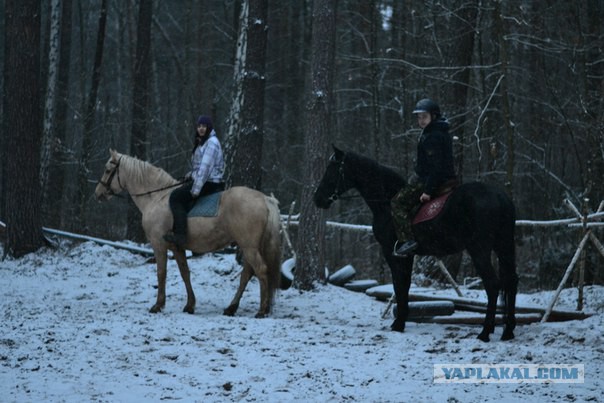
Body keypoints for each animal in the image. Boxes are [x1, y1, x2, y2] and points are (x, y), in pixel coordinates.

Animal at [95, 149, 284, 318]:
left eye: (108, 170)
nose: (98, 193)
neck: (157, 198)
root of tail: (265, 199)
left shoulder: (159, 244)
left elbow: (161, 273)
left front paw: (158, 305)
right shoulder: (177, 247)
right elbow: (185, 273)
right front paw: (190, 305)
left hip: (249, 247)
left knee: (260, 270)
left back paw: (262, 310)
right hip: (248, 247)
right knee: (247, 274)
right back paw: (232, 308)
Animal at [314, 147, 516, 342]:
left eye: (331, 170)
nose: (318, 198)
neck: (387, 201)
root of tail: (499, 196)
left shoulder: (391, 252)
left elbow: (398, 284)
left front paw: (398, 324)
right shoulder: (407, 254)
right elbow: (405, 285)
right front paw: (401, 320)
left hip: (479, 249)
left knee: (493, 284)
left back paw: (485, 332)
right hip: (504, 246)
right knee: (511, 282)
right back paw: (508, 331)